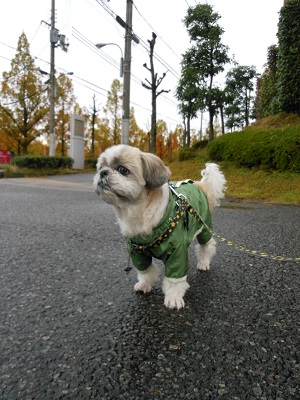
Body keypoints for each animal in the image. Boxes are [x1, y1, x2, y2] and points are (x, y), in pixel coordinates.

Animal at [93, 144, 225, 310]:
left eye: (123, 170)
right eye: (100, 167)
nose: (103, 172)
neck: (138, 212)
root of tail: (198, 184)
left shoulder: (176, 253)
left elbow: (175, 279)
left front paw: (173, 298)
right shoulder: (137, 253)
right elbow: (145, 271)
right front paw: (145, 285)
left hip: (204, 226)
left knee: (206, 246)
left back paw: (203, 263)